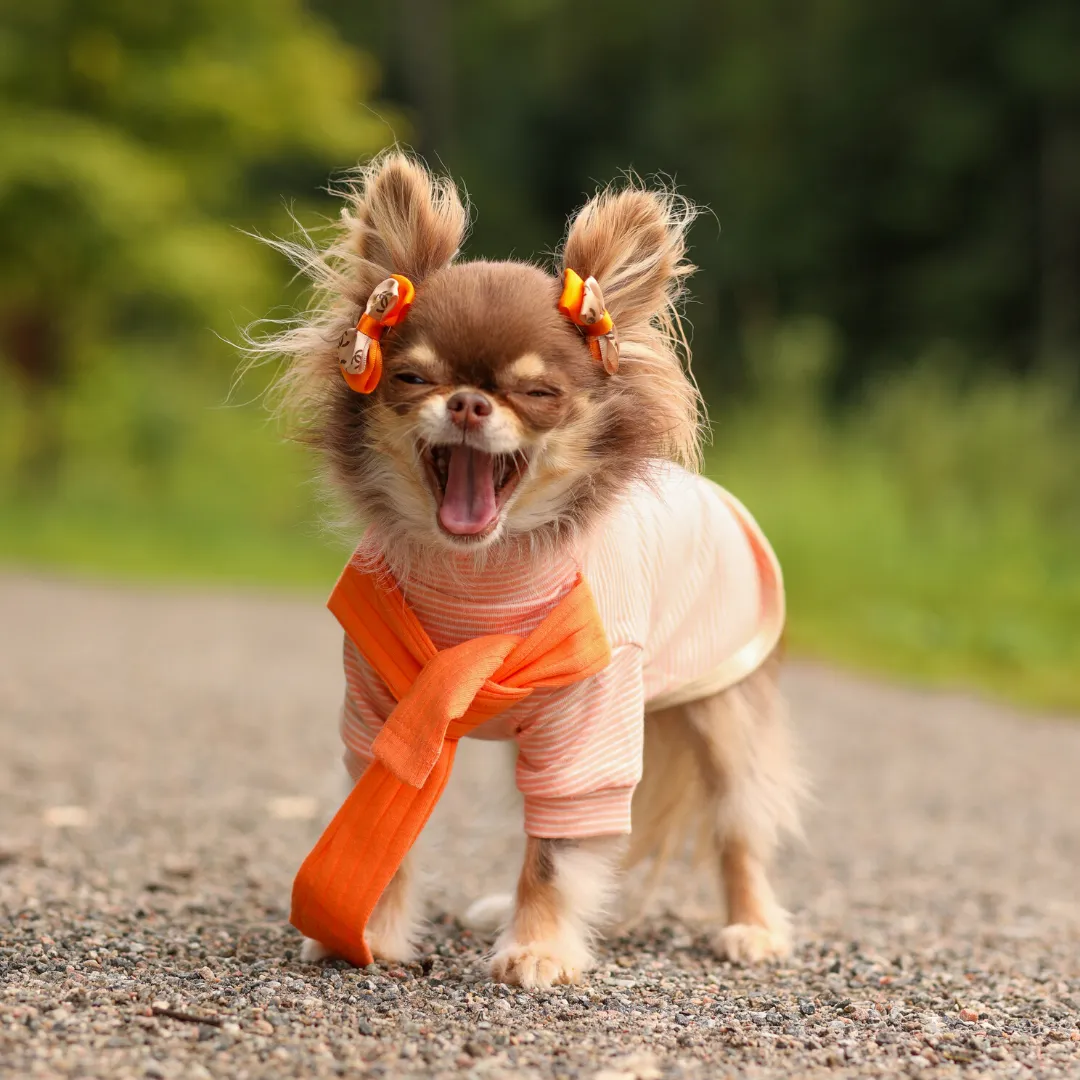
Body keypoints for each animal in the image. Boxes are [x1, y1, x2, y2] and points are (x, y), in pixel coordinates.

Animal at [259, 152, 803, 989]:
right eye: (413, 380)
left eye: (538, 392)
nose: (469, 403)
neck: (480, 578)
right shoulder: (384, 709)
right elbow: (391, 833)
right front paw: (372, 935)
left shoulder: (588, 731)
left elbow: (555, 854)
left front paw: (540, 948)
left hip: (722, 713)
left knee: (737, 825)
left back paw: (751, 928)